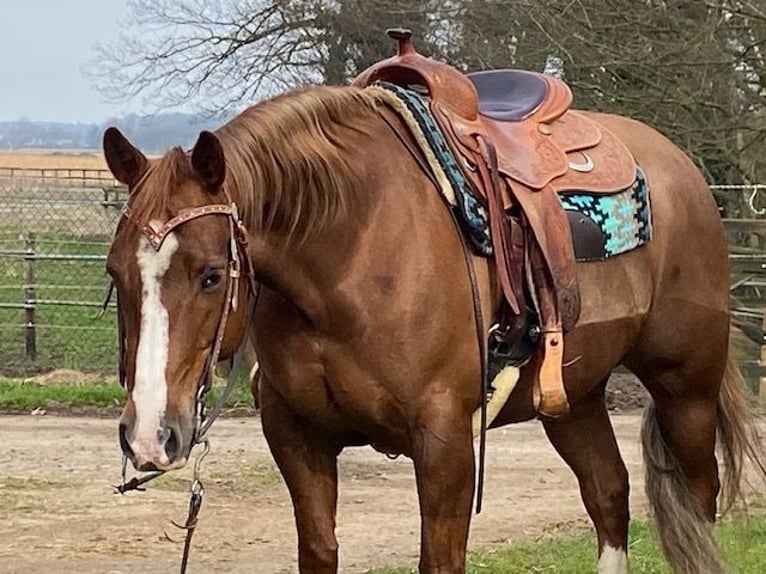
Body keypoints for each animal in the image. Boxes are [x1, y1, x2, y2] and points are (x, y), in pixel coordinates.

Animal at [105, 83, 764, 572]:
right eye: (115, 272)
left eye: (212, 275)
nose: (149, 437)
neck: (349, 246)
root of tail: (683, 169)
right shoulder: (296, 437)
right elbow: (319, 550)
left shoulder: (444, 442)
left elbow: (439, 558)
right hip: (573, 401)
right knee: (609, 496)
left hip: (686, 388)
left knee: (698, 502)